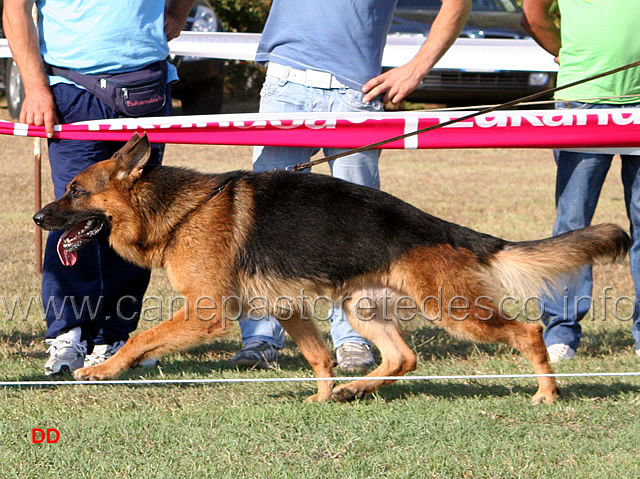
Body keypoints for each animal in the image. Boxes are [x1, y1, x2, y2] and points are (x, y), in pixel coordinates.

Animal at [32, 132, 628, 404]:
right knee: (404, 357)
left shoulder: (206, 314)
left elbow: (138, 339)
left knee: (527, 331)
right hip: (362, 309)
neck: (178, 211)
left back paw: (547, 394)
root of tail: (437, 226)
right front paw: (322, 396)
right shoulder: (288, 307)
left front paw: (101, 370)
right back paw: (353, 390)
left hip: (456, 311)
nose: (38, 217)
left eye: (75, 191)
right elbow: (320, 356)